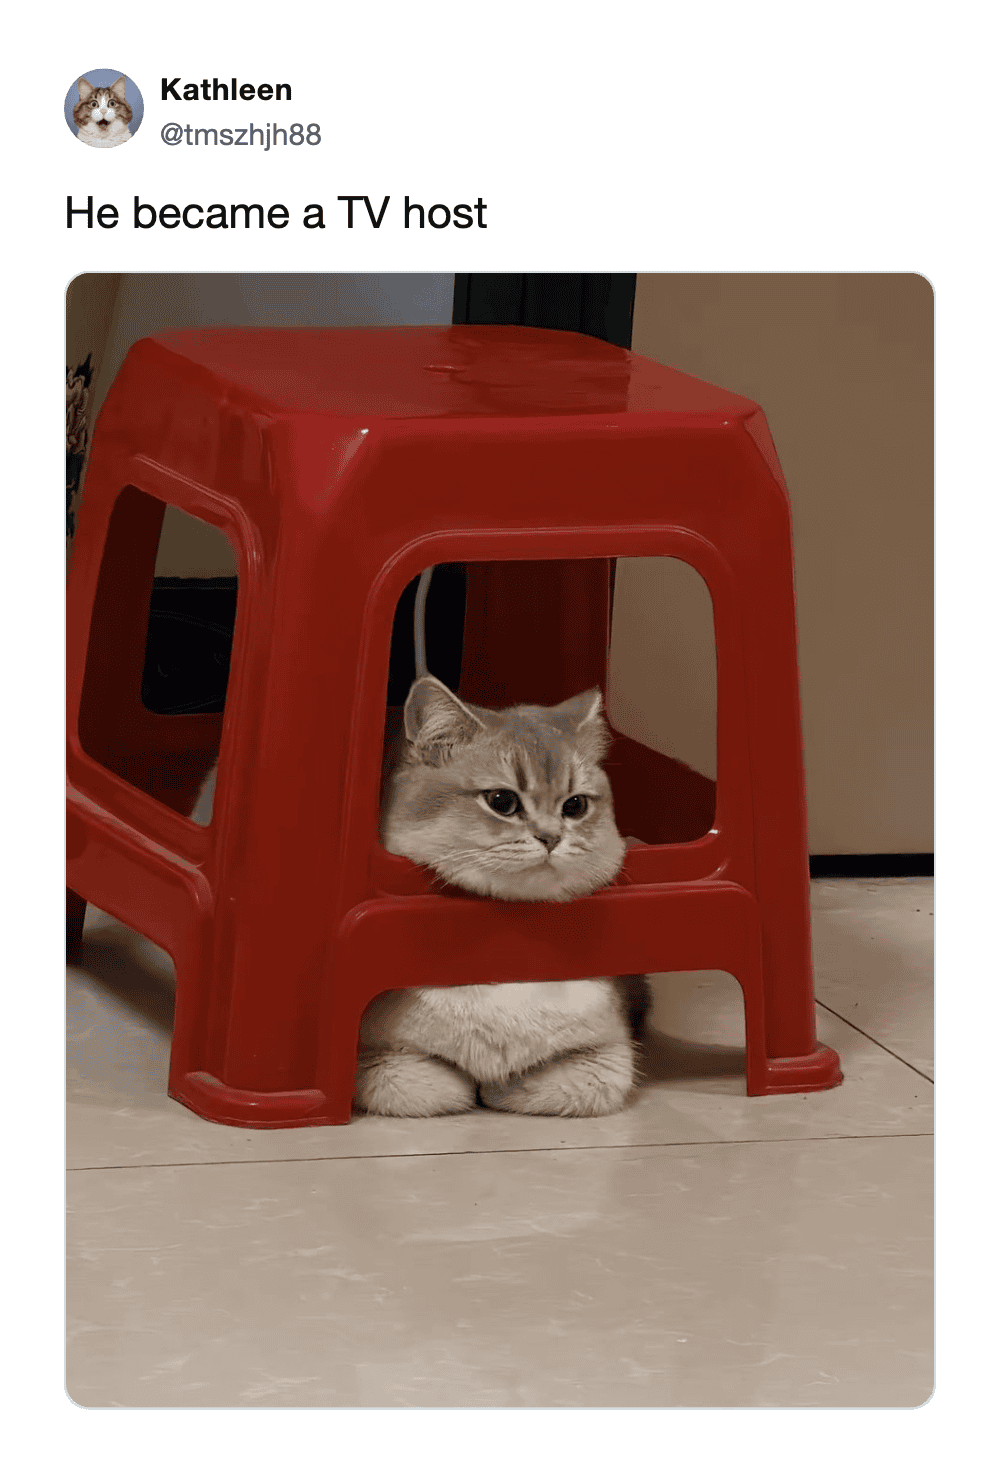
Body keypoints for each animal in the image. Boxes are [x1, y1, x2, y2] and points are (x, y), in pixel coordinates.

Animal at [190, 677, 650, 1119]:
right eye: (502, 801)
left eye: (575, 806)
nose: (552, 838)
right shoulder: (380, 1059)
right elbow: (440, 1088)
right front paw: (479, 1086)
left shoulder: (607, 1057)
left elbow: (544, 1085)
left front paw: (499, 1085)